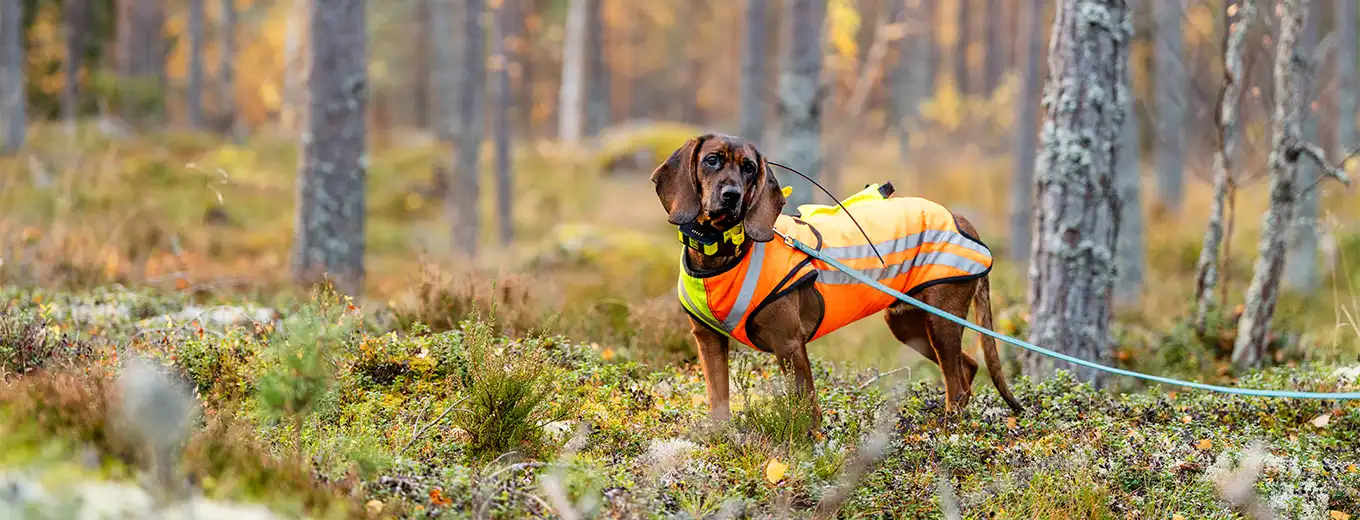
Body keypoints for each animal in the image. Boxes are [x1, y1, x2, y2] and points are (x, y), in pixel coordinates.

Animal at [647, 132, 1022, 427]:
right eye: (711, 160)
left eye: (749, 167)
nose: (732, 195)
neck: (724, 252)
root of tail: (960, 217)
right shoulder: (708, 340)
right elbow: (717, 400)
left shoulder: (789, 344)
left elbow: (806, 408)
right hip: (910, 325)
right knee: (967, 368)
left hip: (940, 322)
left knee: (956, 384)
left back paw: (948, 432)